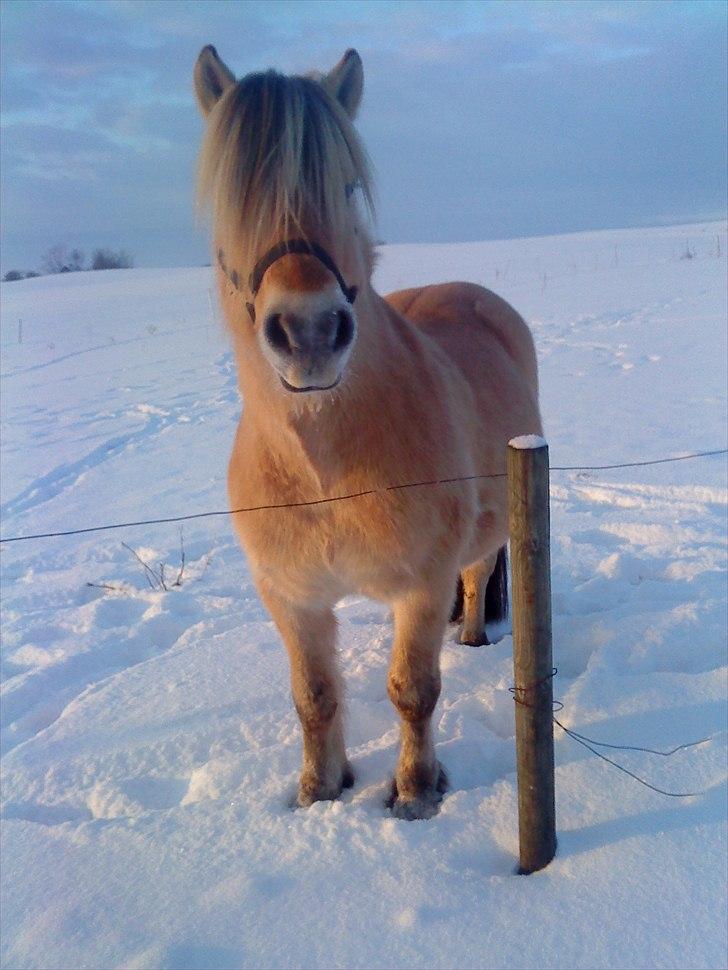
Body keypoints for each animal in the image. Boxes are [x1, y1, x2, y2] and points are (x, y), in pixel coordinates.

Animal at [193, 45, 540, 816]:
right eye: (233, 202)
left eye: (348, 187)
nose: (310, 332)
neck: (322, 467)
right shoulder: (292, 598)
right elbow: (315, 697)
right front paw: (319, 791)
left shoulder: (421, 586)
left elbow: (413, 691)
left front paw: (414, 794)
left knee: (476, 576)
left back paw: (472, 636)